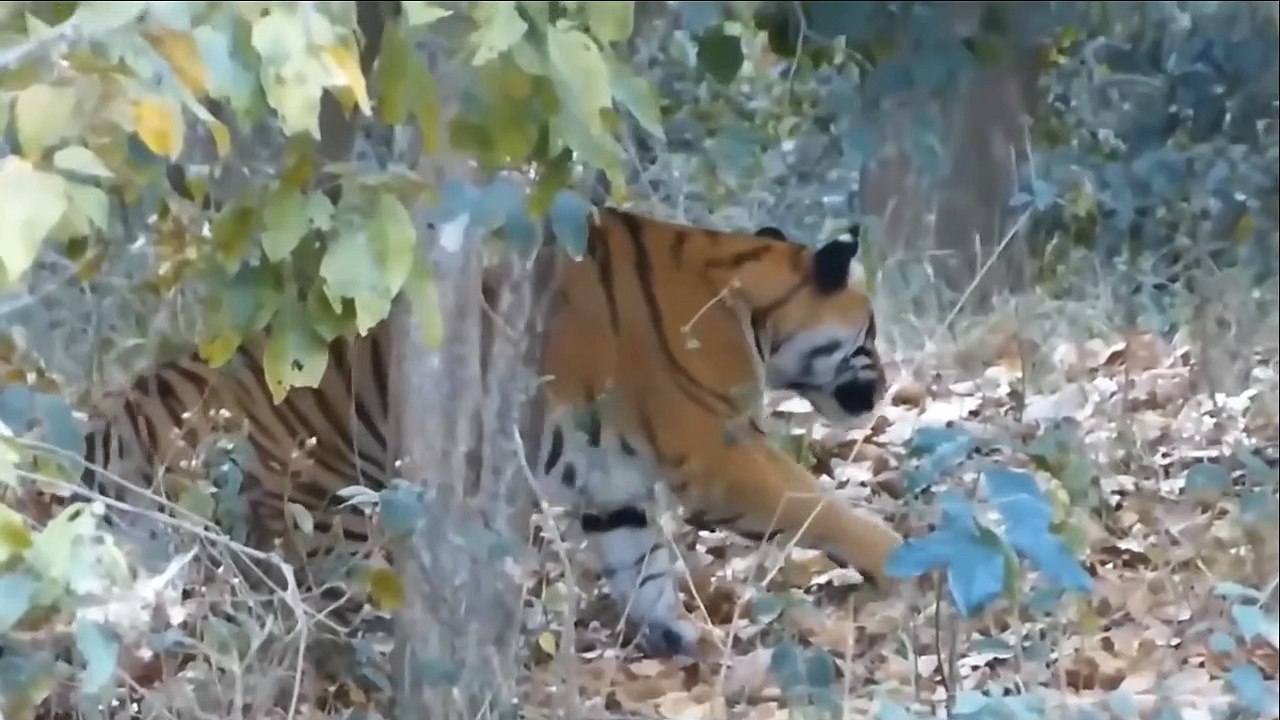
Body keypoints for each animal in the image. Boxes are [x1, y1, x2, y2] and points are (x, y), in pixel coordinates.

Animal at [78, 205, 903, 658]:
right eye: (869, 333)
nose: (888, 383)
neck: (750, 307)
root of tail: (123, 406)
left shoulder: (615, 483)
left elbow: (641, 565)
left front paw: (670, 637)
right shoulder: (718, 452)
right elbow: (822, 508)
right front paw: (904, 561)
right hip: (326, 518)